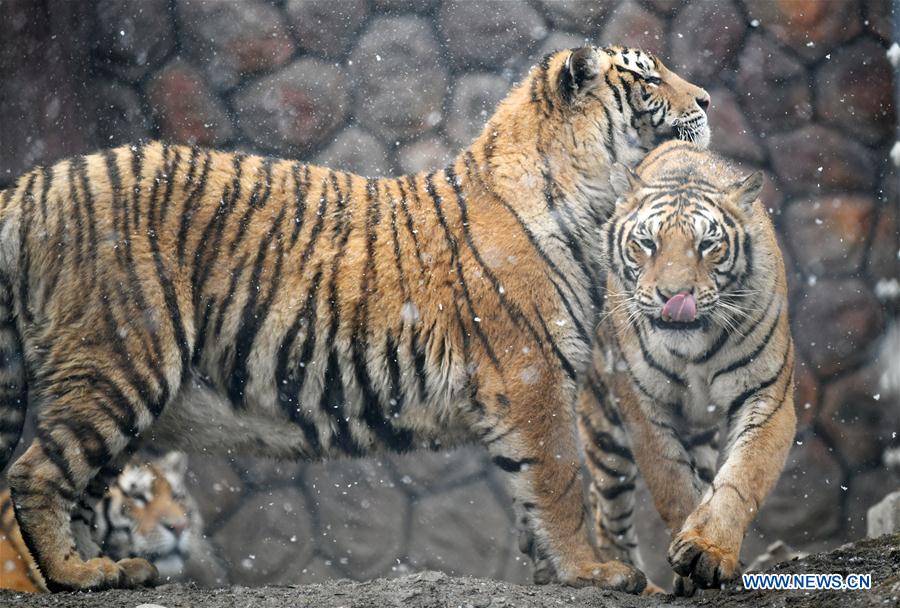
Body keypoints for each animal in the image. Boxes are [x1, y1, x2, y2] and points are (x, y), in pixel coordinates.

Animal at [576, 141, 795, 594]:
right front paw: (688, 558)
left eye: (708, 244)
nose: (674, 296)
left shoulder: (769, 394)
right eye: (646, 242)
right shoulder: (642, 406)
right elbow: (672, 483)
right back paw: (635, 581)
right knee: (607, 512)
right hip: (604, 426)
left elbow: (743, 475)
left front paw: (706, 551)